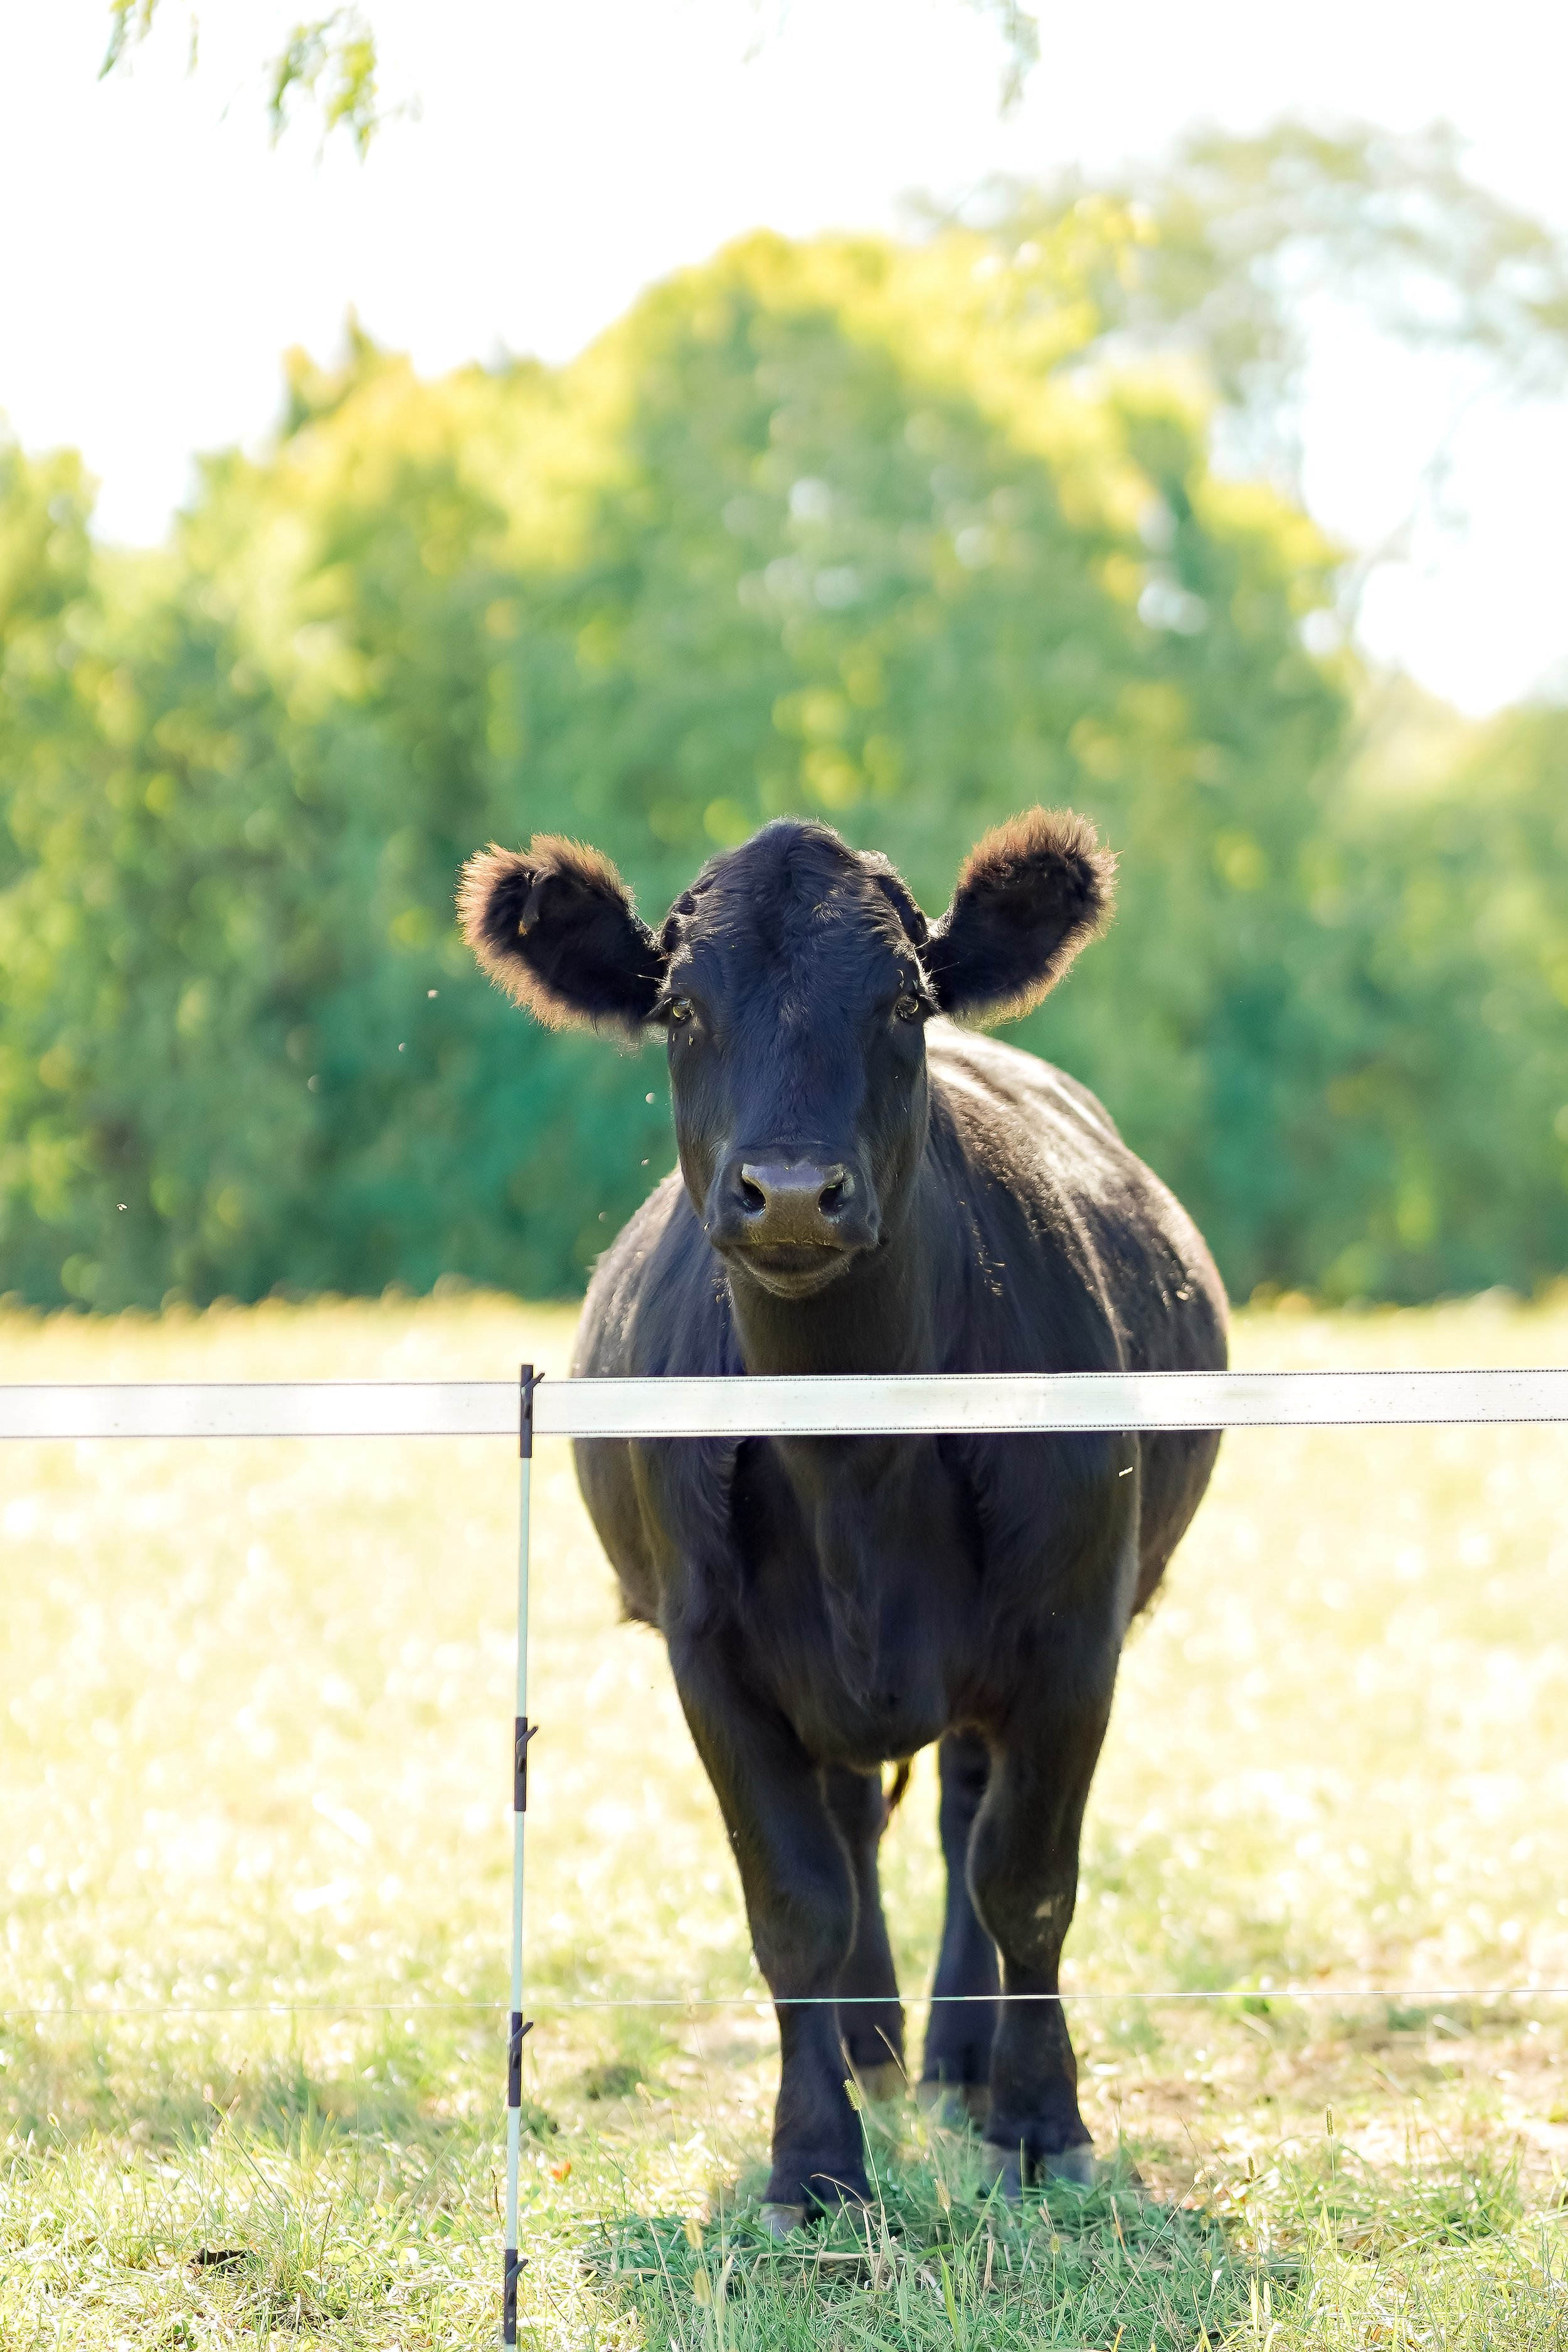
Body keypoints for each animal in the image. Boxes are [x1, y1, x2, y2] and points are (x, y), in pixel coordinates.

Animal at [460, 818, 1232, 2230]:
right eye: (679, 1005)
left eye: (905, 1001)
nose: (790, 1192)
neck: (851, 1454)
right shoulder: (710, 1658)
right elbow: (795, 1906)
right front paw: (814, 2164)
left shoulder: (1074, 1631)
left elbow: (1026, 1880)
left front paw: (1040, 2124)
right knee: (857, 1823)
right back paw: (874, 2047)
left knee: (960, 1821)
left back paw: (959, 2059)